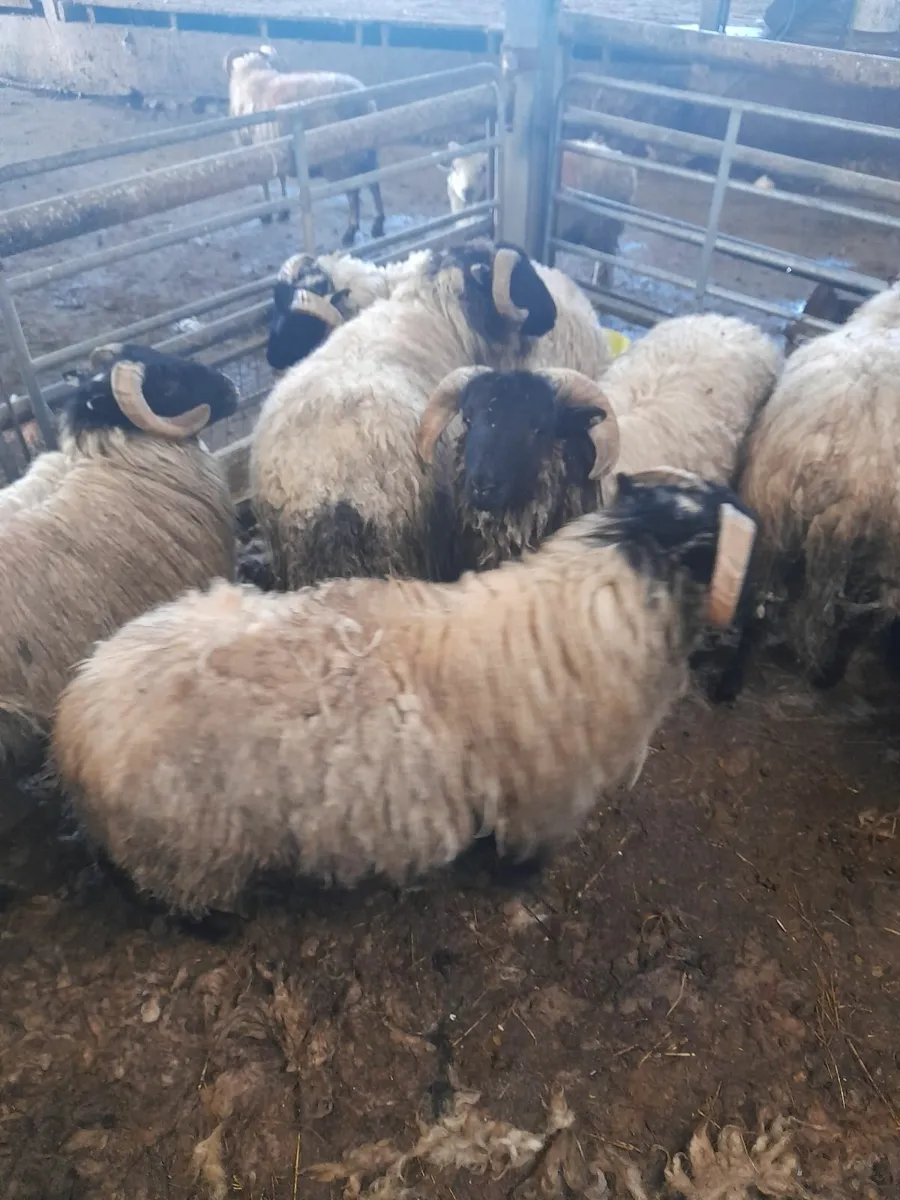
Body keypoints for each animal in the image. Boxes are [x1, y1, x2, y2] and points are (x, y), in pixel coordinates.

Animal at [224, 45, 386, 245]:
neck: (251, 75)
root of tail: (362, 101)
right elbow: (281, 179)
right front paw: (283, 211)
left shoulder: (252, 151)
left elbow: (265, 183)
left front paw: (268, 214)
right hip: (368, 151)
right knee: (374, 183)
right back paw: (378, 225)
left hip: (340, 160)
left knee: (353, 192)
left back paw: (350, 232)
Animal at [443, 138, 638, 286]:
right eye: (454, 167)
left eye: (484, 168)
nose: (467, 191)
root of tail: (627, 168)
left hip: (604, 228)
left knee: (607, 259)